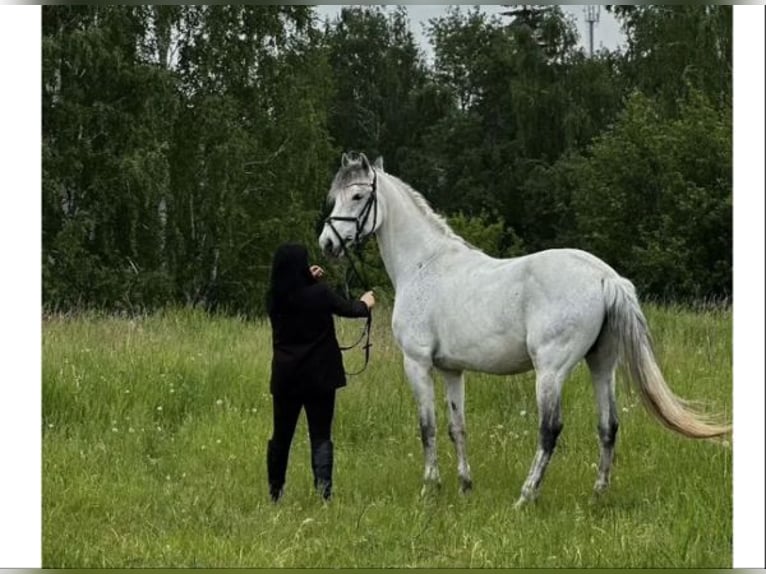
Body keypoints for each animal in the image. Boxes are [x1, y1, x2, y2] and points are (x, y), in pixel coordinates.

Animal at [318, 152, 730, 507]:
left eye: (357, 195)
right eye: (335, 196)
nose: (327, 244)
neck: (424, 265)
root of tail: (605, 277)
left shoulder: (417, 363)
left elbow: (428, 427)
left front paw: (430, 489)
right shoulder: (452, 369)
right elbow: (456, 426)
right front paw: (465, 486)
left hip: (550, 370)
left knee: (550, 430)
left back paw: (526, 496)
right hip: (601, 364)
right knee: (608, 425)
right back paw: (598, 494)